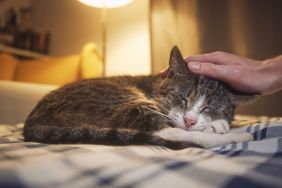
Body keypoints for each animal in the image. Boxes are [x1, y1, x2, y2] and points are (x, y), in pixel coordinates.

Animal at [23, 46, 254, 149]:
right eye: (182, 98)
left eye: (209, 108)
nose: (190, 120)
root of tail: (30, 122)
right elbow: (176, 127)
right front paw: (218, 127)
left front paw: (217, 122)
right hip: (121, 100)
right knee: (163, 131)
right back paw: (237, 137)